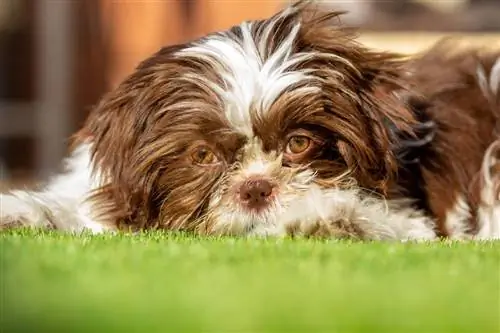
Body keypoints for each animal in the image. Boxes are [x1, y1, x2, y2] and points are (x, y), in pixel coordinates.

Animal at [0, 0, 500, 239]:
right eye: (202, 155)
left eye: (298, 143)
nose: (256, 187)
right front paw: (26, 212)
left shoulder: (408, 212)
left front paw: (328, 217)